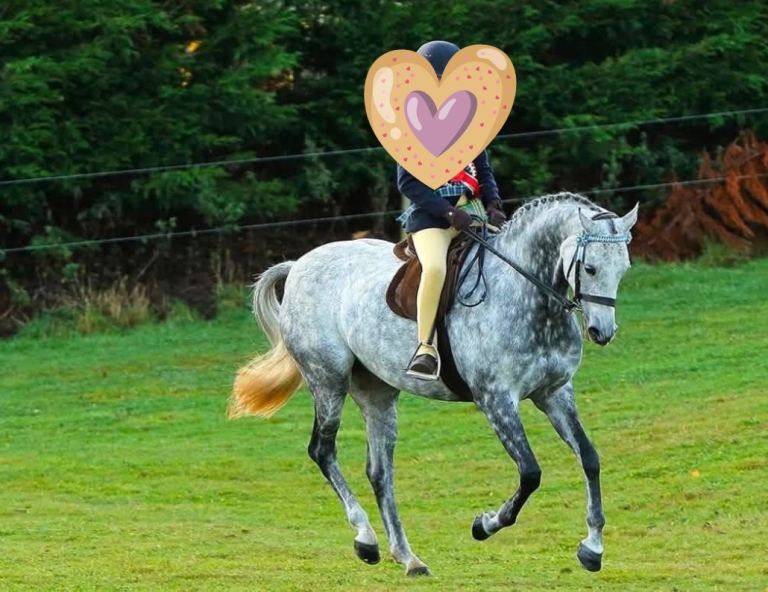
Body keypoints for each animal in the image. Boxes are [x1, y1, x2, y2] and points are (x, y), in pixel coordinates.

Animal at [229, 192, 638, 576]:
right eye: (590, 267)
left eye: (624, 268)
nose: (602, 332)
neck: (527, 296)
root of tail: (299, 265)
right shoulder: (496, 400)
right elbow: (530, 473)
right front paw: (484, 524)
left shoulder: (554, 393)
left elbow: (589, 458)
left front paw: (592, 548)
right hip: (327, 379)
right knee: (323, 451)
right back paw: (365, 538)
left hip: (377, 393)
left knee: (379, 472)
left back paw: (407, 558)